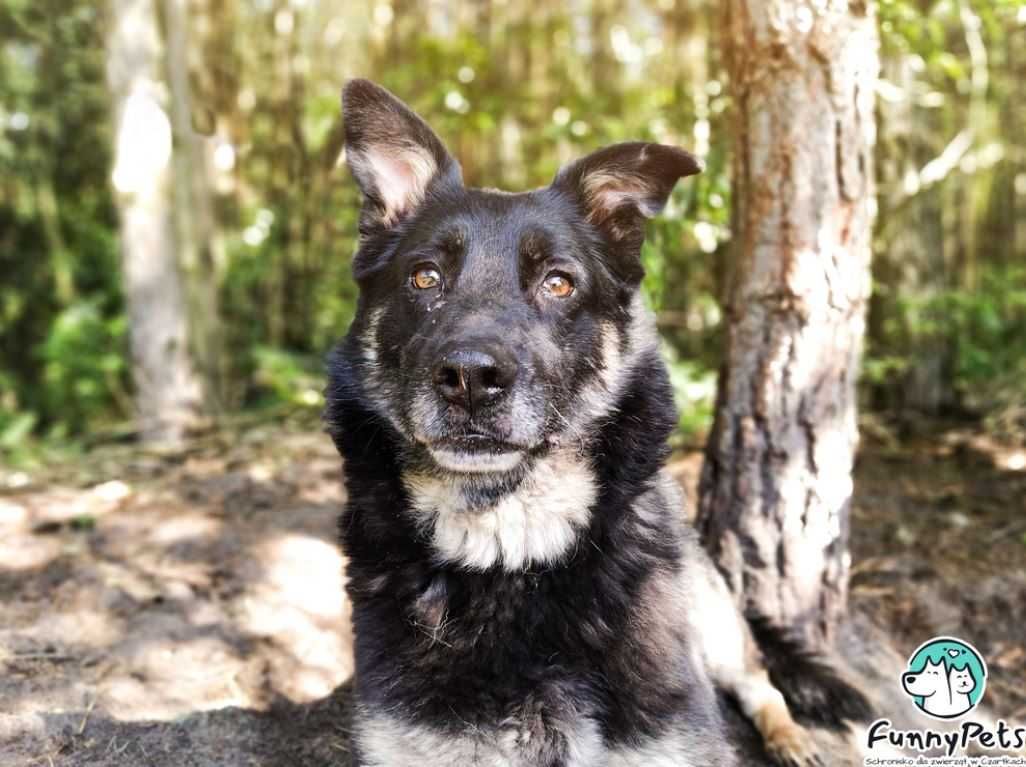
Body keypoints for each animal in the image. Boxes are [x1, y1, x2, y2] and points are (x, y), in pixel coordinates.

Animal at [324, 79, 870, 767]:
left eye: (559, 283)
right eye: (425, 277)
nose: (470, 378)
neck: (511, 548)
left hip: (715, 623)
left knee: (758, 679)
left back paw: (790, 737)